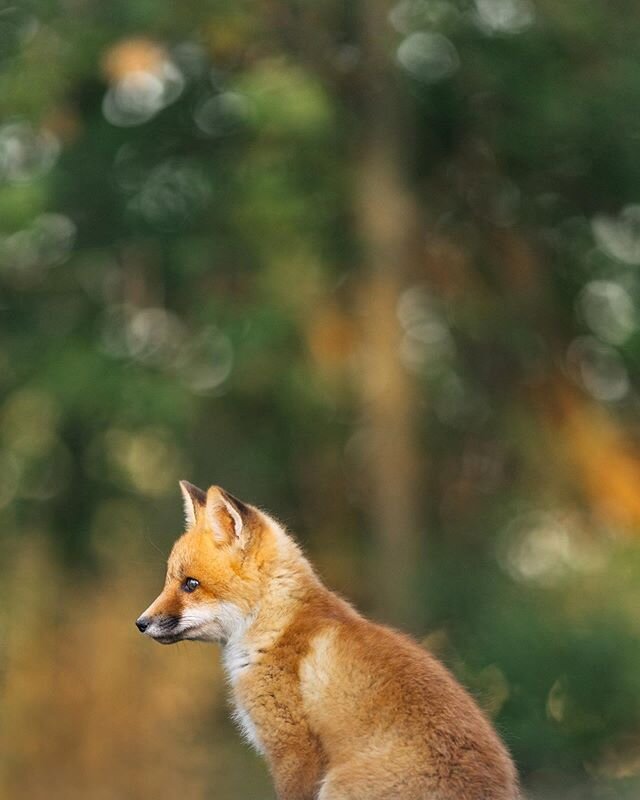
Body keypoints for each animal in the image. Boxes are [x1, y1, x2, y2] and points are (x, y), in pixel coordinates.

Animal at [136, 481, 521, 800]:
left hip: (336, 786)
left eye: (190, 584)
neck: (275, 627)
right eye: (169, 581)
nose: (141, 623)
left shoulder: (294, 750)